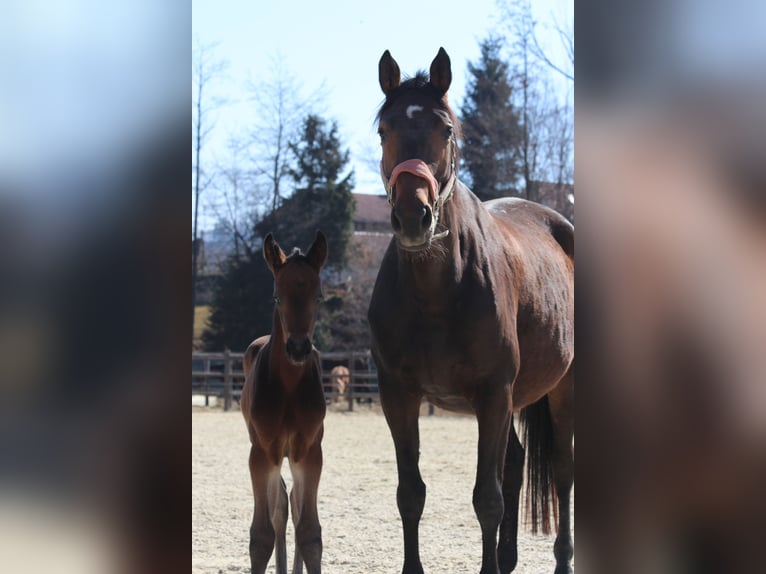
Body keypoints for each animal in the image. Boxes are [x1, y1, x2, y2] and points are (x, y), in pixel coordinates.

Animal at [243, 232, 328, 572]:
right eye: (277, 297)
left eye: (318, 297)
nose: (298, 348)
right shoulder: (263, 452)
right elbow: (261, 535)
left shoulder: (310, 451)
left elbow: (310, 533)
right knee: (280, 505)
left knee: (292, 503)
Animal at [368, 50, 572, 574]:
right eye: (384, 130)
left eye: (445, 130)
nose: (413, 216)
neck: (436, 292)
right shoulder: (398, 394)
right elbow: (410, 494)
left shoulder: (493, 394)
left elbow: (487, 498)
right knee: (516, 464)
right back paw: (508, 558)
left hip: (561, 390)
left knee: (562, 472)